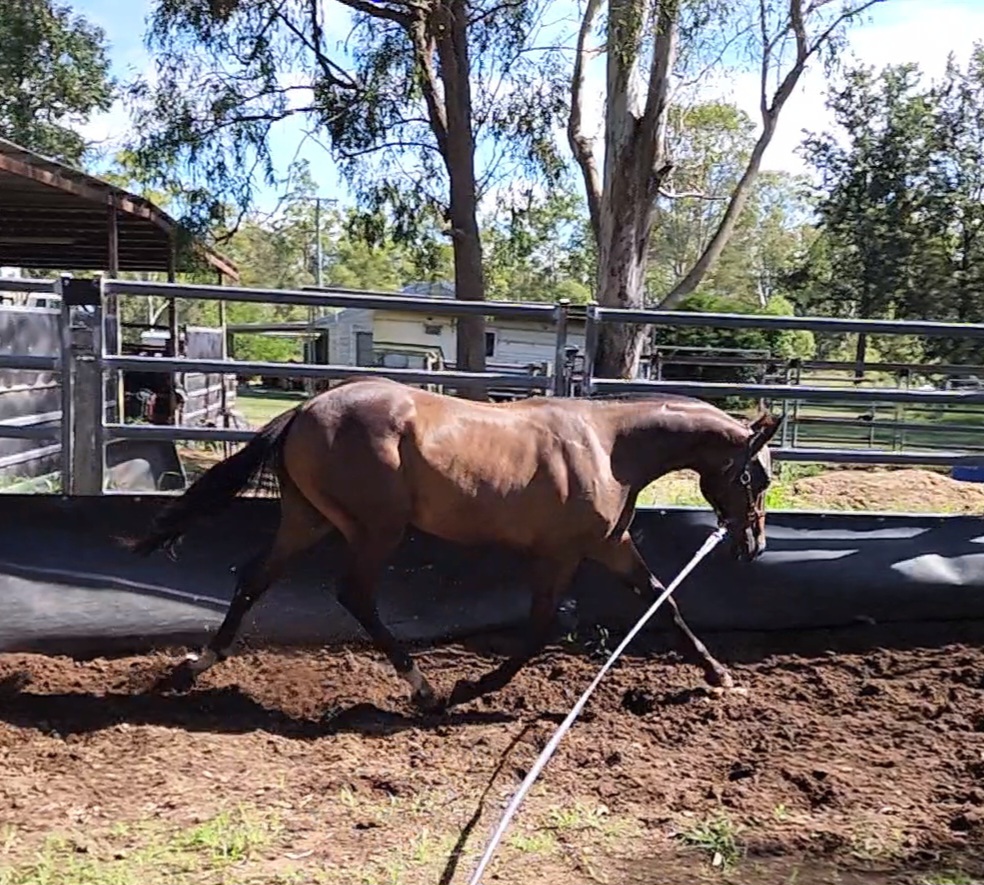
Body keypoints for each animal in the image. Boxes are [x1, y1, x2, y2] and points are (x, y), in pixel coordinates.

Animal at [122, 376, 782, 712]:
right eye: (761, 476)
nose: (752, 545)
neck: (608, 448)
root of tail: (305, 409)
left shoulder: (610, 546)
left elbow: (662, 602)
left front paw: (719, 676)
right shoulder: (559, 555)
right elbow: (539, 629)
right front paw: (474, 687)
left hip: (306, 522)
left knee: (255, 578)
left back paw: (190, 670)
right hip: (375, 531)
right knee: (354, 594)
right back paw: (425, 689)